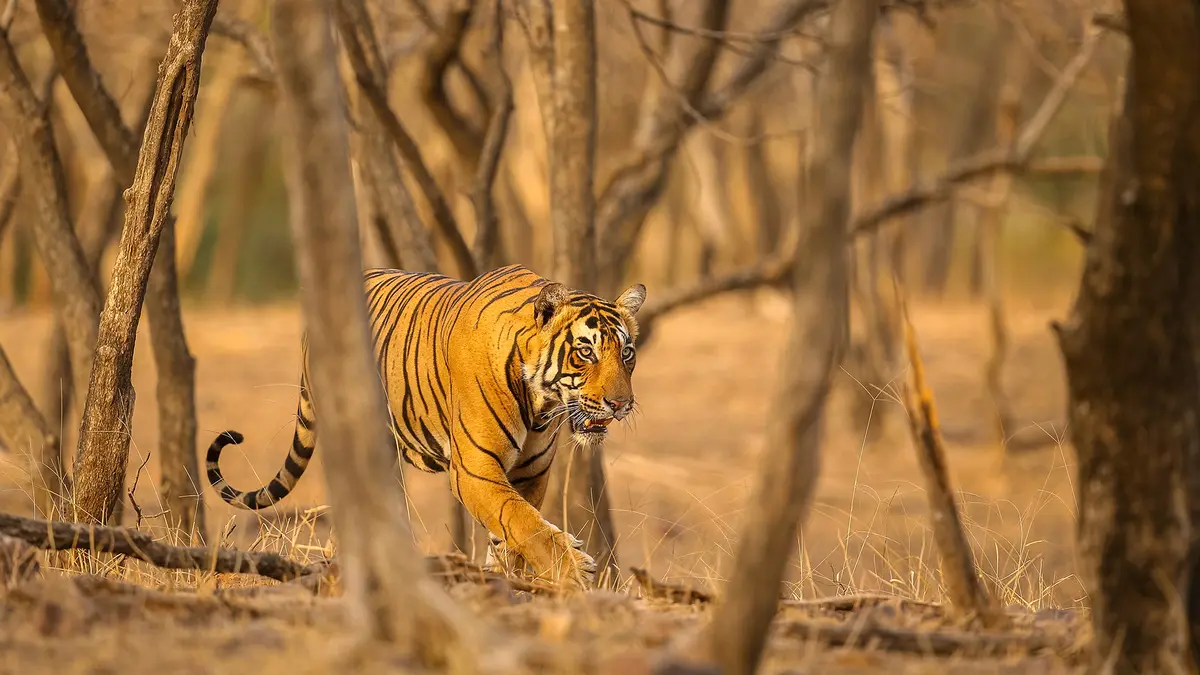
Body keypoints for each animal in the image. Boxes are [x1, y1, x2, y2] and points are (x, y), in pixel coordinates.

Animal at [204, 264, 646, 589]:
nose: (620, 404)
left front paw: (510, 579)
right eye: (585, 352)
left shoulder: (531, 473)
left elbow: (515, 529)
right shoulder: (473, 470)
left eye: (627, 352)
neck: (542, 405)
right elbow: (524, 522)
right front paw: (575, 569)